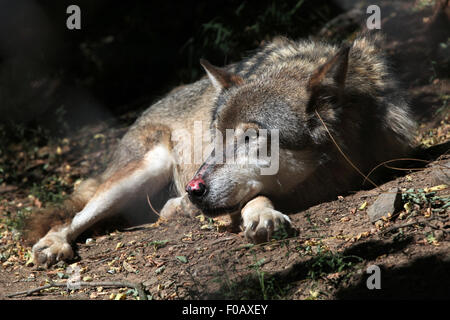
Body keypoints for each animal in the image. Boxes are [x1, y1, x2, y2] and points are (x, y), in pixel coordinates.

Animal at [27, 33, 414, 266]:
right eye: (216, 136)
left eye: (250, 138)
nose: (194, 189)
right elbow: (254, 198)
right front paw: (263, 215)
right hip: (142, 170)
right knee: (74, 217)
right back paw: (54, 244)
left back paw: (179, 208)